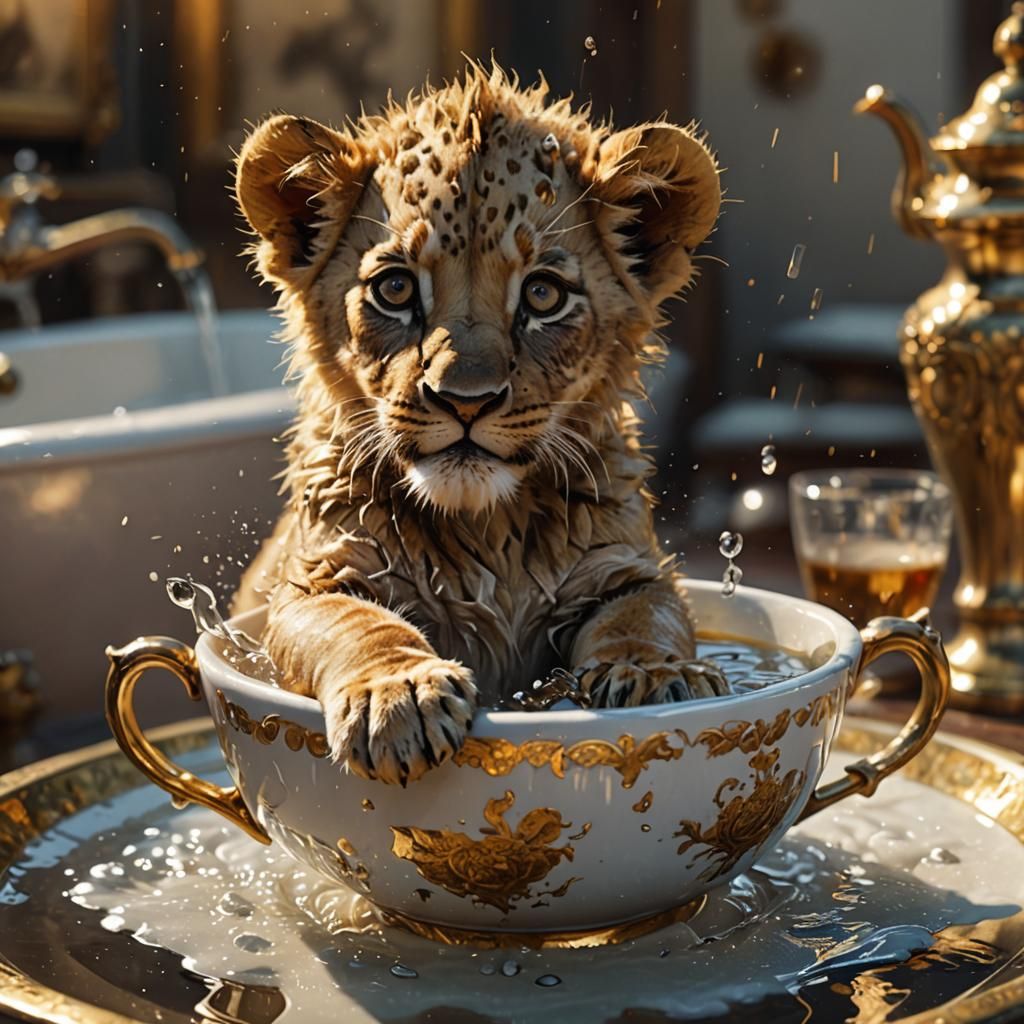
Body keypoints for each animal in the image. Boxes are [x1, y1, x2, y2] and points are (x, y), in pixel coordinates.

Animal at [232, 63, 729, 787]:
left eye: (544, 295)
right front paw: (399, 693)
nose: (465, 400)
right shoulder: (310, 581)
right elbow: (354, 622)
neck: (484, 527)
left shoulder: (628, 568)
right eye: (395, 289)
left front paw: (656, 676)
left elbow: (646, 614)